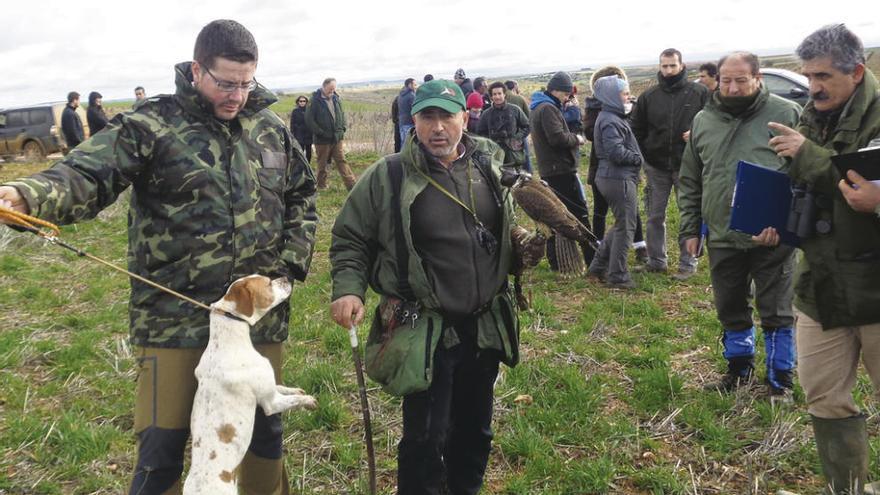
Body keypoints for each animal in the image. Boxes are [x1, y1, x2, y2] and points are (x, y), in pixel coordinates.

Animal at [182, 278, 316, 494]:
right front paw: (308, 401)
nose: (287, 278)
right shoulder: (270, 404)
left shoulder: (268, 390)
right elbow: (293, 400)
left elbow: (283, 388)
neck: (228, 343)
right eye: (268, 282)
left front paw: (296, 390)